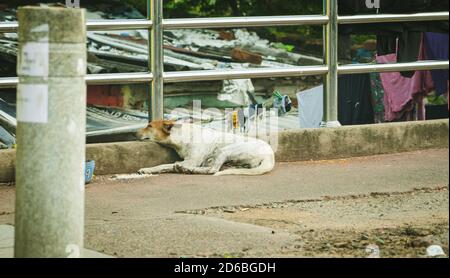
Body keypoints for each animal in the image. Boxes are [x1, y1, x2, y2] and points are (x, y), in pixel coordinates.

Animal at [135, 119, 274, 176]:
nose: (134, 133)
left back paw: (189, 170)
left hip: (225, 150)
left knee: (212, 170)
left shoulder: (191, 161)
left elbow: (165, 165)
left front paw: (148, 169)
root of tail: (270, 155)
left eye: (149, 126)